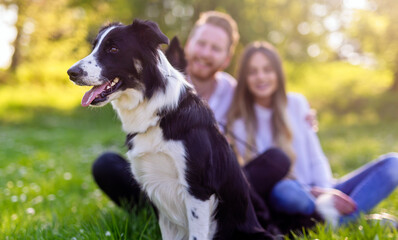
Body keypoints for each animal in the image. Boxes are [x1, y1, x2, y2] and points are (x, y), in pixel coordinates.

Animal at [68, 19, 272, 239]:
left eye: (113, 49)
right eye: (94, 47)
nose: (71, 73)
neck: (159, 115)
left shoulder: (197, 189)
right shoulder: (155, 189)